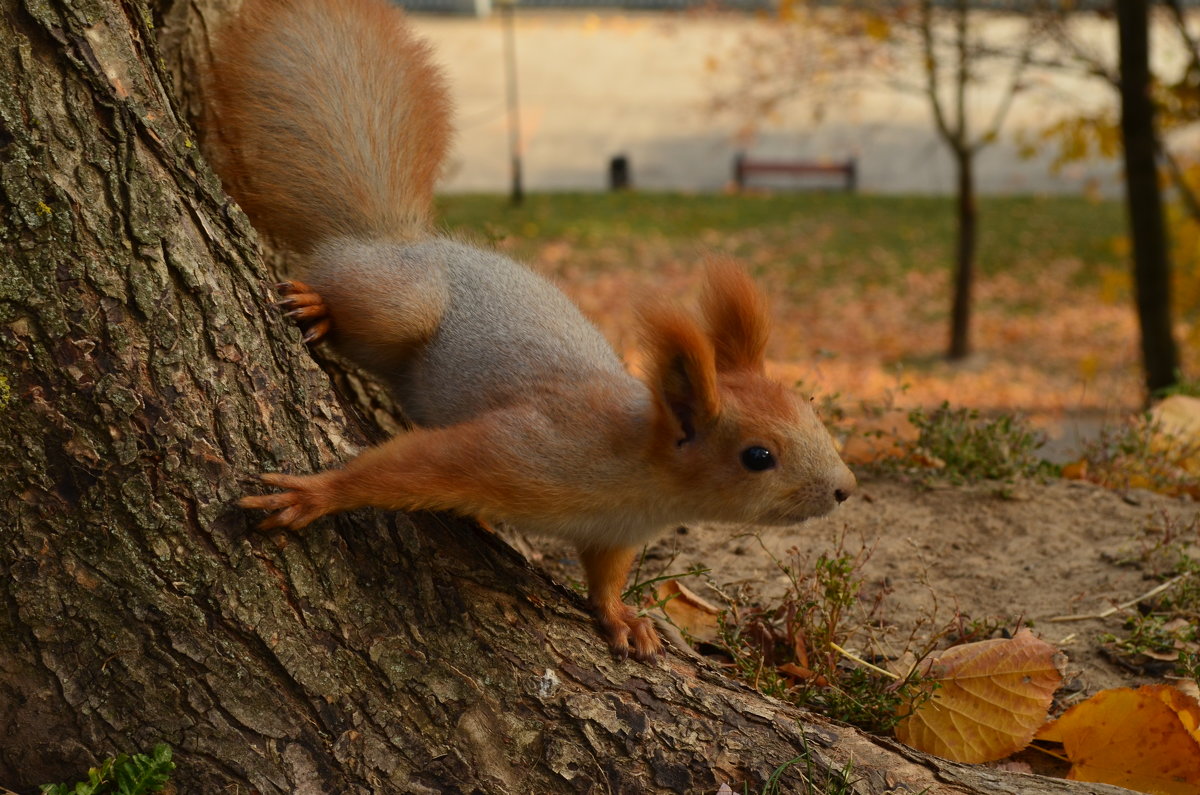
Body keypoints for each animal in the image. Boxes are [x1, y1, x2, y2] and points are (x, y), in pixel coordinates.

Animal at [208, 0, 854, 662]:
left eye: (810, 410)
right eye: (758, 456)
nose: (844, 489)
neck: (643, 478)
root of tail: (390, 237)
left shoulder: (612, 534)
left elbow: (606, 576)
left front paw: (622, 617)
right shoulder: (530, 451)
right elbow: (420, 464)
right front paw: (318, 494)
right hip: (397, 304)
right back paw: (317, 305)